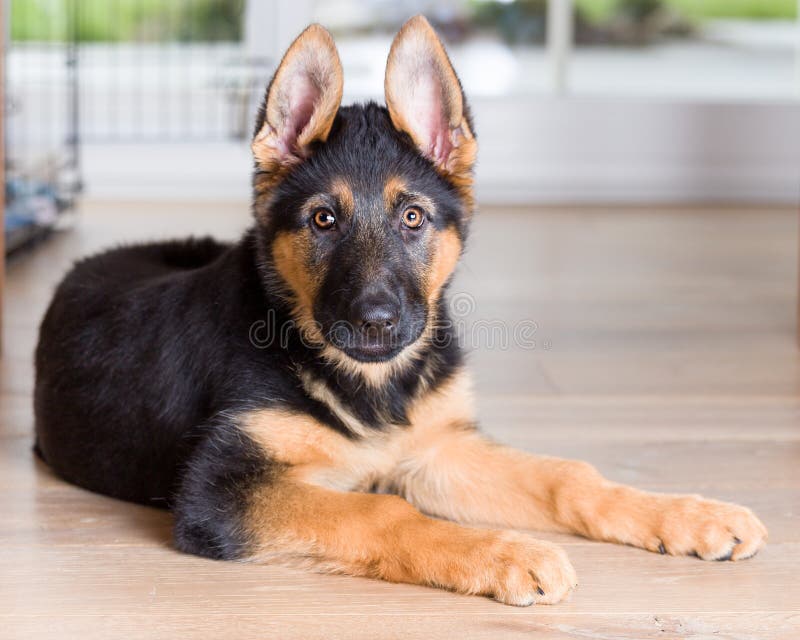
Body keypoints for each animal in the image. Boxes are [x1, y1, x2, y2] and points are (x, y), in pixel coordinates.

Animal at [32, 16, 768, 604]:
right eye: (323, 220)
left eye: (412, 217)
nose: (377, 321)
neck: (370, 386)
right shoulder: (218, 492)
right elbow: (382, 515)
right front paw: (507, 552)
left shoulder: (437, 449)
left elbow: (567, 476)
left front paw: (691, 516)